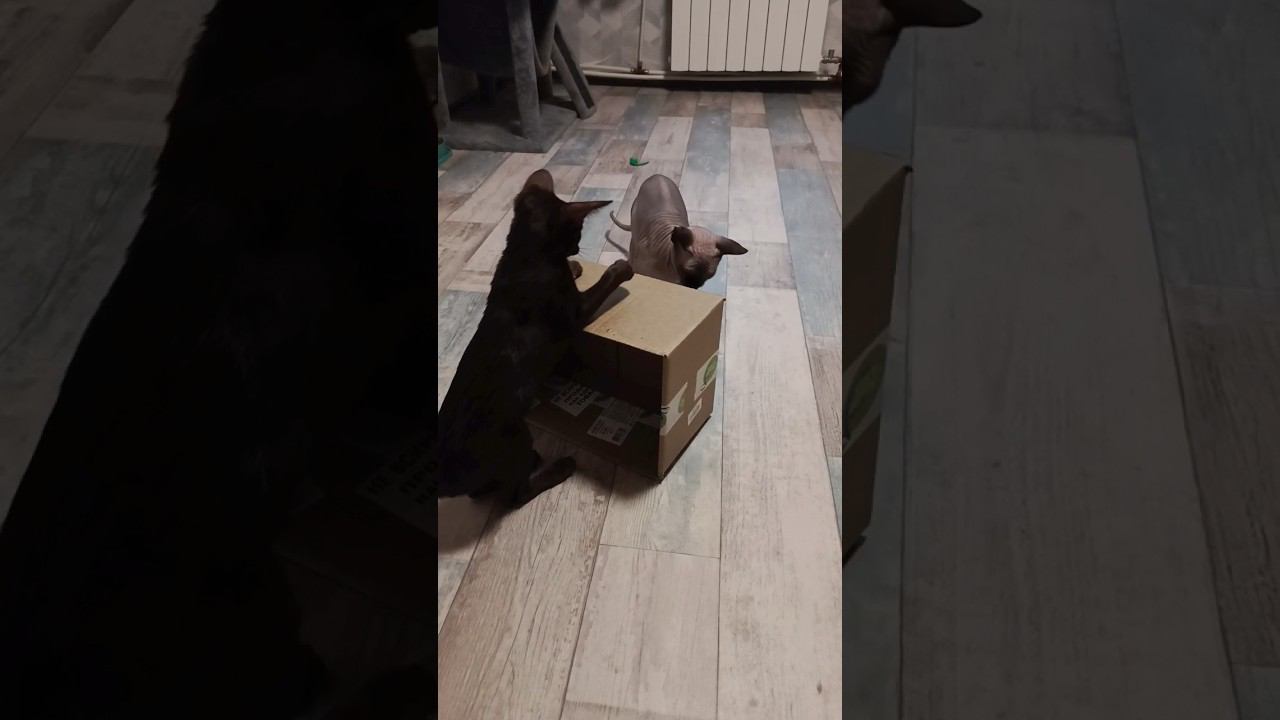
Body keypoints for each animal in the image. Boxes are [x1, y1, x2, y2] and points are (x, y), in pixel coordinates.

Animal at [435, 169, 634, 507]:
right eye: (577, 231)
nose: (576, 250)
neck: (524, 254)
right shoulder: (575, 312)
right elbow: (606, 279)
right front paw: (621, 266)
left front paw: (576, 266)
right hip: (515, 439)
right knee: (515, 495)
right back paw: (560, 467)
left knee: (481, 493)